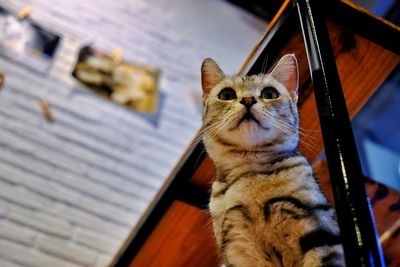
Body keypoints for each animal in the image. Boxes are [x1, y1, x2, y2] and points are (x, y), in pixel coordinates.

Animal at [202, 55, 346, 267]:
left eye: (269, 93)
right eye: (226, 94)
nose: (248, 100)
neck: (249, 174)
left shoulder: (317, 229)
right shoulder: (237, 247)